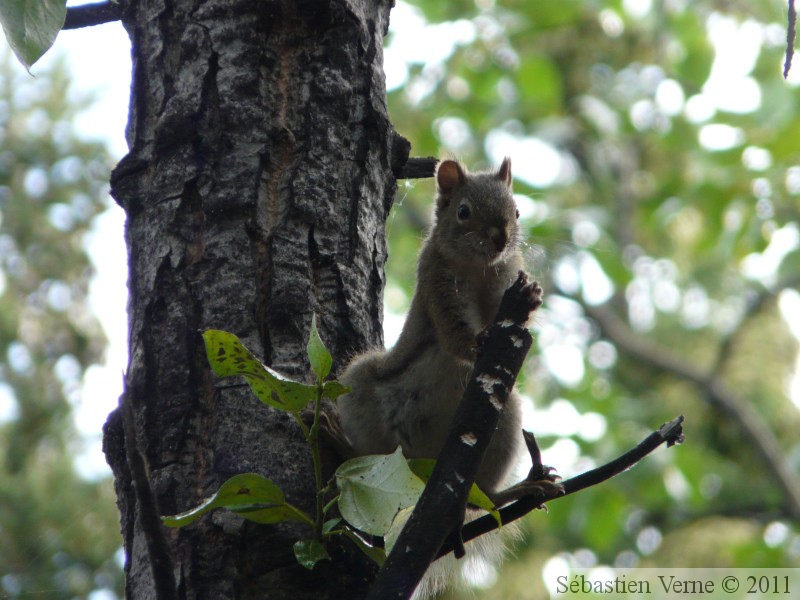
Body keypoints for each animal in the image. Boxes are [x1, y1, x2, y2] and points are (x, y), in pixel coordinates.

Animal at [332, 158, 556, 506]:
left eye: (517, 212)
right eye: (463, 211)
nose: (501, 238)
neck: (478, 268)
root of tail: (418, 466)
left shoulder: (502, 282)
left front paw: (531, 297)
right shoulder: (437, 284)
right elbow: (453, 332)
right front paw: (478, 343)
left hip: (504, 417)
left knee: (484, 498)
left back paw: (523, 488)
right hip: (360, 386)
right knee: (363, 453)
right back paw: (337, 440)